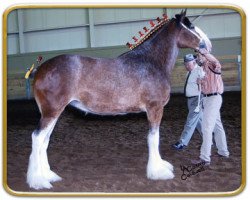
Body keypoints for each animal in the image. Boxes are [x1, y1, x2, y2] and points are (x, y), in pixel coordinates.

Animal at [26, 10, 211, 190]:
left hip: (53, 113)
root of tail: (40, 70)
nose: (208, 45)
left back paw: (48, 175)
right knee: (37, 138)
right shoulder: (155, 108)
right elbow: (154, 138)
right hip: (51, 112)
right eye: (191, 26)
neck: (151, 62)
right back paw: (38, 181)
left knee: (44, 140)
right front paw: (158, 171)